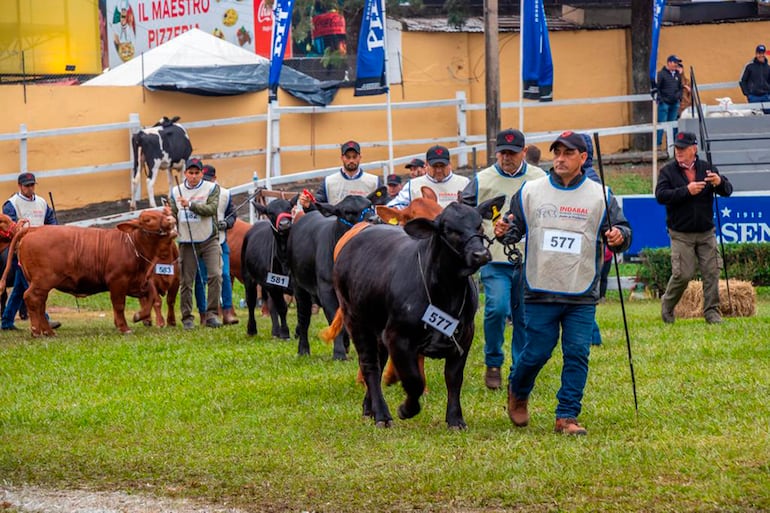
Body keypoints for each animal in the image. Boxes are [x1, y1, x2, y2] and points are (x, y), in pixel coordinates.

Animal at [3, 209, 177, 336]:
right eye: (148, 220)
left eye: (162, 213)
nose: (171, 220)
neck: (132, 246)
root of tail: (34, 229)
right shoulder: (118, 281)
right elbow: (119, 305)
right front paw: (124, 327)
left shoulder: (137, 282)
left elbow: (151, 297)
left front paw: (139, 316)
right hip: (42, 281)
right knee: (31, 298)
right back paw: (37, 331)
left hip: (39, 283)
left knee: (40, 303)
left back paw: (48, 331)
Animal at [243, 196, 296, 340]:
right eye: (271, 213)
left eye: (288, 208)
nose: (284, 224)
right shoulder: (274, 286)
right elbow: (282, 308)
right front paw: (285, 332)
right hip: (249, 279)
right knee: (251, 302)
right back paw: (252, 329)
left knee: (271, 305)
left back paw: (275, 331)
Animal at [286, 191, 382, 360]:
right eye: (348, 212)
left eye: (370, 205)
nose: (375, 219)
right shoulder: (327, 290)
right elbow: (335, 321)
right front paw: (339, 353)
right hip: (299, 288)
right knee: (303, 319)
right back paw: (303, 350)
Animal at [334, 196, 504, 428]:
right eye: (449, 230)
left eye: (478, 225)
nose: (480, 254)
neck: (447, 292)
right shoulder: (398, 336)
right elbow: (414, 380)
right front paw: (406, 409)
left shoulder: (465, 335)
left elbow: (453, 378)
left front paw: (455, 419)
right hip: (356, 320)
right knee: (370, 365)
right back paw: (382, 415)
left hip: (378, 329)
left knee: (379, 362)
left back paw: (369, 408)